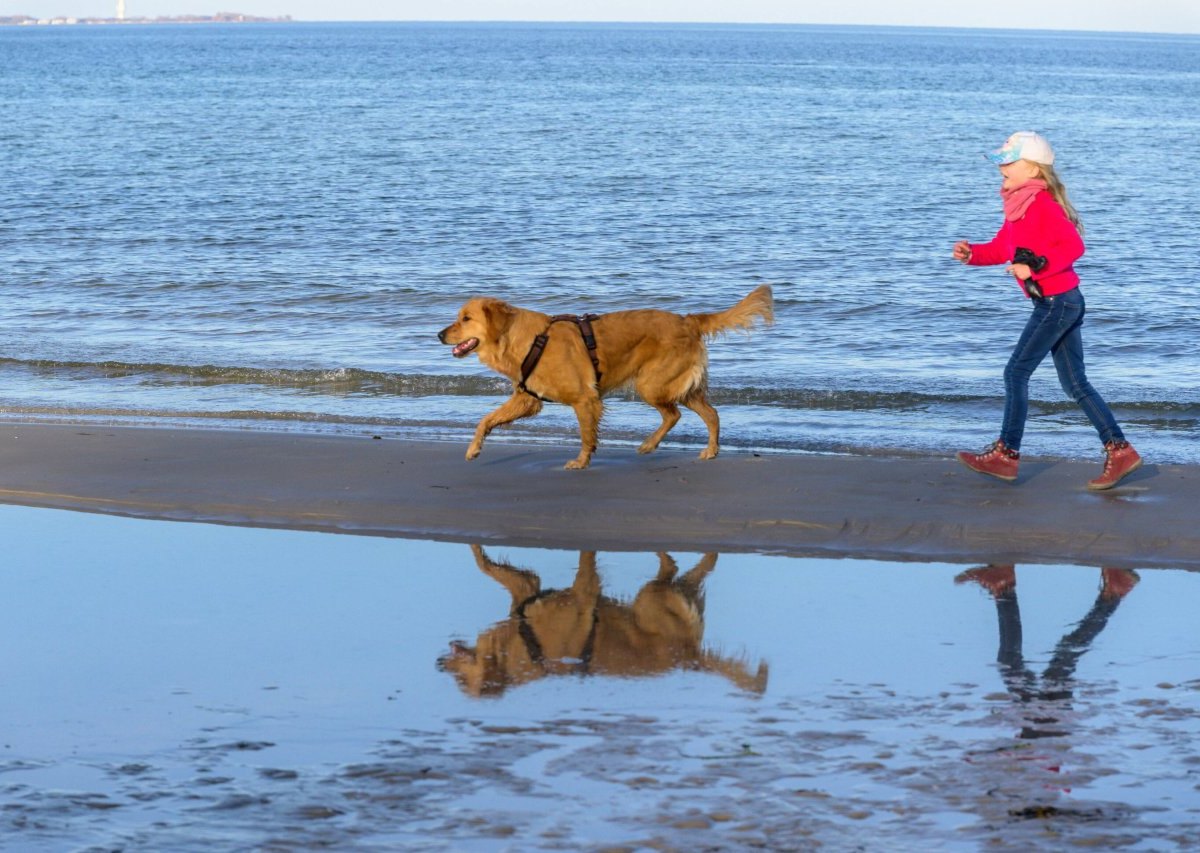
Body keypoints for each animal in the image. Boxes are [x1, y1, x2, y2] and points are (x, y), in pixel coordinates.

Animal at [436, 289, 772, 472]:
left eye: (466, 319)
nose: (439, 334)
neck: (528, 341)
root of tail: (688, 320)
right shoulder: (526, 399)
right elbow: (485, 419)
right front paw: (473, 449)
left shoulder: (584, 398)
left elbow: (586, 435)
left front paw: (581, 462)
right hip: (672, 384)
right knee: (707, 414)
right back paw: (691, 448)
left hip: (653, 383)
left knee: (676, 413)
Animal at [436, 547, 763, 700]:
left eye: (462, 681)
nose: (438, 664)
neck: (520, 647)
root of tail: (689, 655)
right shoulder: (527, 588)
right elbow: (486, 566)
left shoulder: (581, 594)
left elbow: (585, 562)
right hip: (664, 598)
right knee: (688, 568)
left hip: (650, 600)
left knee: (672, 568)